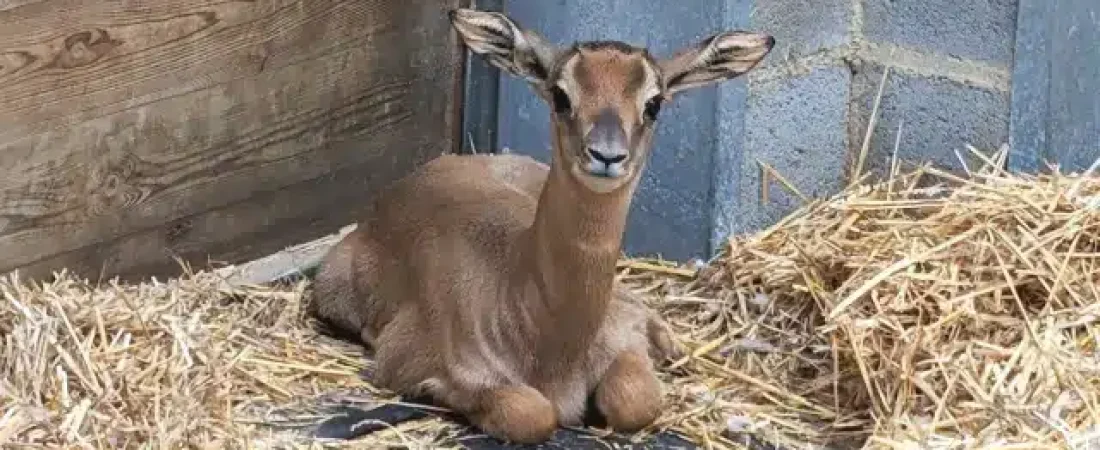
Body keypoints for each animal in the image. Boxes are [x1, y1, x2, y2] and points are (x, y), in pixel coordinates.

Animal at [308, 7, 774, 442]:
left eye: (654, 102)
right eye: (561, 94)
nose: (607, 155)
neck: (547, 337)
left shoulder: (621, 343)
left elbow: (636, 400)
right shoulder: (410, 360)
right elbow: (532, 413)